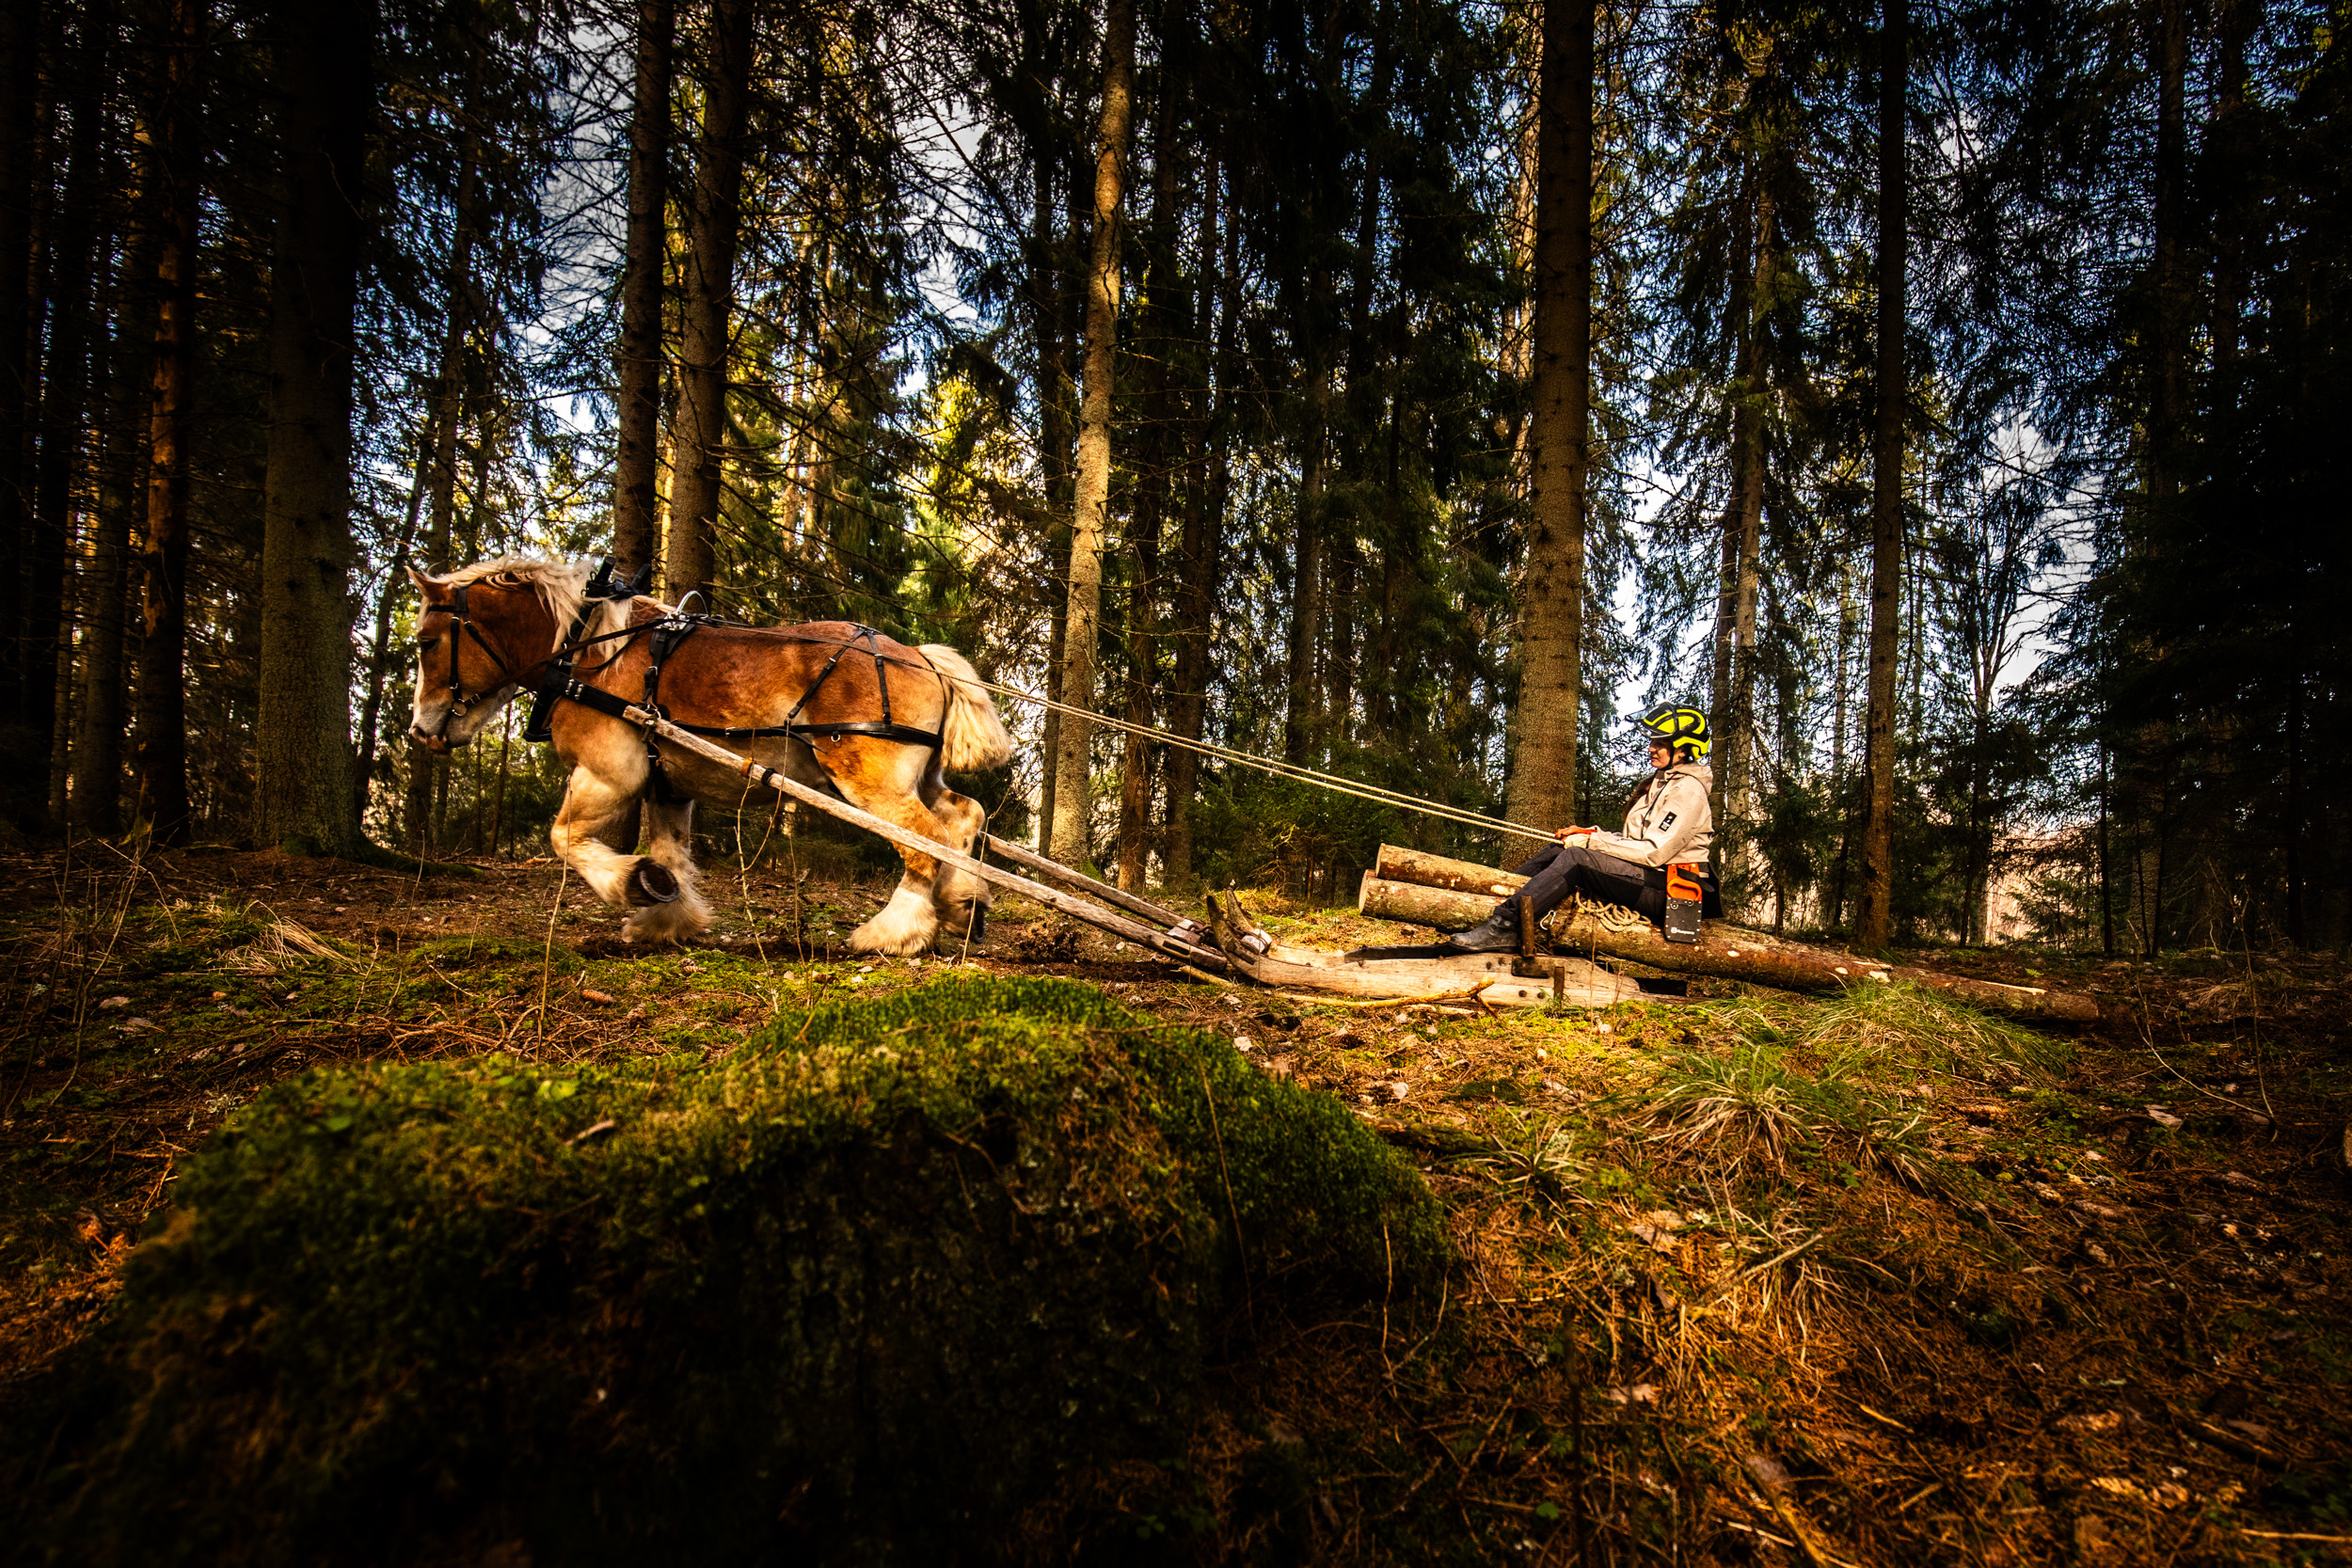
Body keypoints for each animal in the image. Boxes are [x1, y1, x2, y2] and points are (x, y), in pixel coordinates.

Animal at [403, 557, 1013, 953]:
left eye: (426, 642)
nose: (418, 729)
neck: (591, 653)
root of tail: (920, 655)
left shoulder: (609, 773)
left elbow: (564, 838)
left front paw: (630, 885)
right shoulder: (667, 785)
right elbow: (670, 851)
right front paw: (664, 918)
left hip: (871, 779)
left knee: (924, 840)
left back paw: (892, 933)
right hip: (919, 775)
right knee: (963, 817)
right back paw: (962, 907)